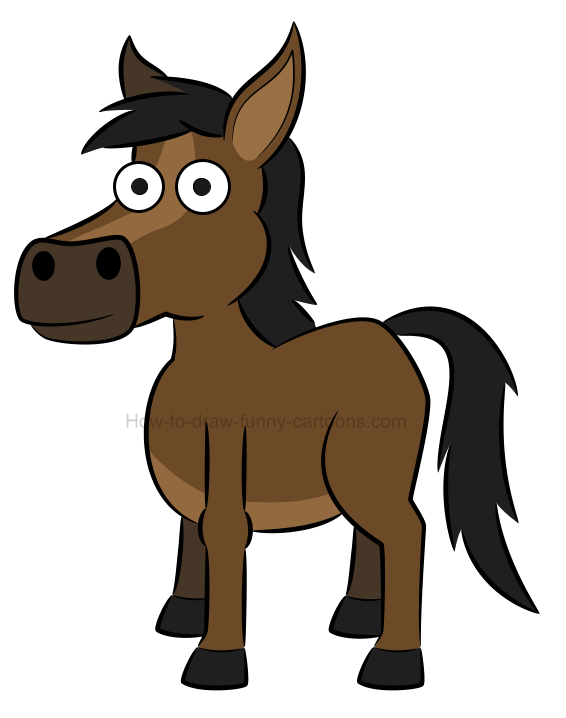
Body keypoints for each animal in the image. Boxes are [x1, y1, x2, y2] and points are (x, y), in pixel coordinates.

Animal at [14, 25, 537, 691]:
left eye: (204, 186)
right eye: (134, 182)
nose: (54, 266)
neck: (207, 368)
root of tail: (391, 333)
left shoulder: (228, 457)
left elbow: (222, 532)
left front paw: (216, 661)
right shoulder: (195, 476)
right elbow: (191, 532)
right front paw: (183, 616)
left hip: (367, 467)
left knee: (404, 531)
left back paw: (391, 661)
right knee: (372, 533)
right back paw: (356, 616)